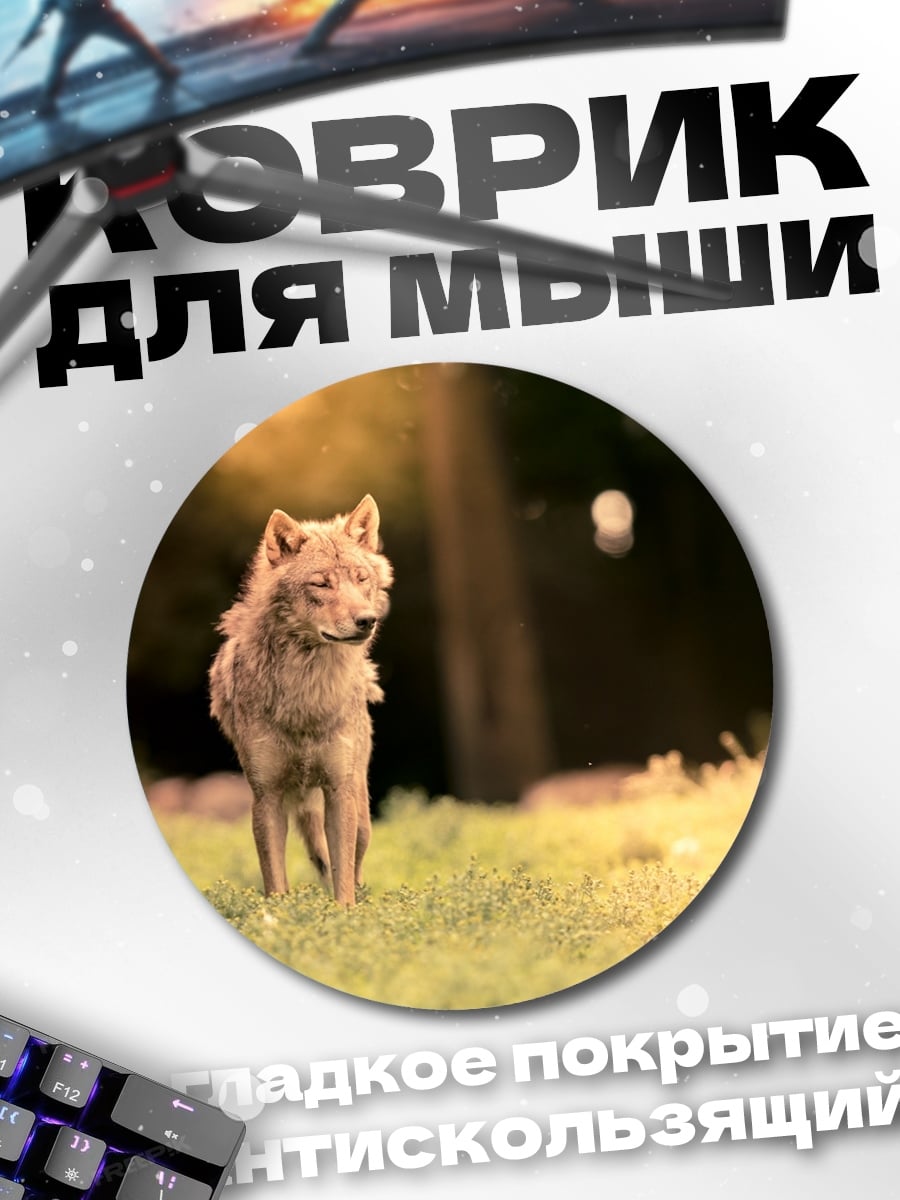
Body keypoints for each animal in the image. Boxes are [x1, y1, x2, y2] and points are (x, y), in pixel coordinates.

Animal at [208, 495, 392, 906]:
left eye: (360, 579)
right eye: (321, 583)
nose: (367, 620)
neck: (307, 695)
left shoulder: (339, 792)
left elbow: (343, 884)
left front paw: (343, 916)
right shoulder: (266, 797)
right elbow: (275, 883)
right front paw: (283, 917)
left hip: (361, 815)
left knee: (355, 868)